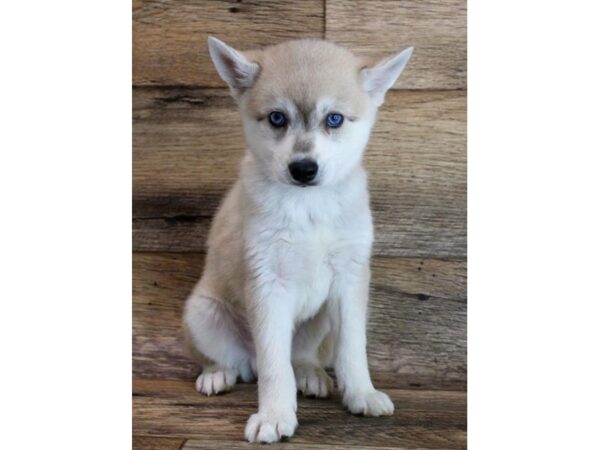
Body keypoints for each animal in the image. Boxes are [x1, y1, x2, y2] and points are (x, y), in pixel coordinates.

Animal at [183, 36, 414, 442]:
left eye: (334, 119)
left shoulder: (349, 279)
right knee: (235, 360)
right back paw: (217, 374)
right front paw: (274, 415)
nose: (304, 169)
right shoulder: (268, 282)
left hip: (318, 320)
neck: (310, 209)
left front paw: (362, 394)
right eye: (277, 118)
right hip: (202, 312)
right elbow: (274, 365)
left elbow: (352, 349)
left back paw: (310, 374)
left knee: (298, 357)